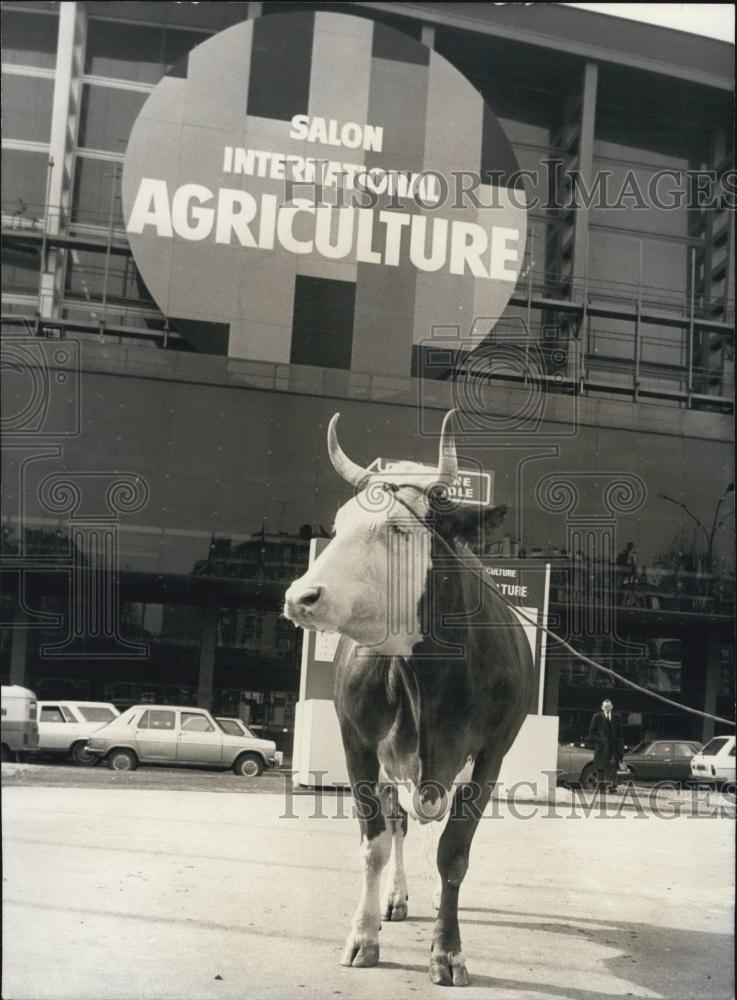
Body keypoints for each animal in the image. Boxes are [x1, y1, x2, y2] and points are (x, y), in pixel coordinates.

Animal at [284, 410, 532, 988]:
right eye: (338, 524)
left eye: (397, 529)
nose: (300, 597)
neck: (427, 679)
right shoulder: (357, 743)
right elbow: (373, 842)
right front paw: (363, 934)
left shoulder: (492, 753)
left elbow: (455, 852)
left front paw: (448, 951)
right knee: (397, 823)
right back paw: (393, 900)